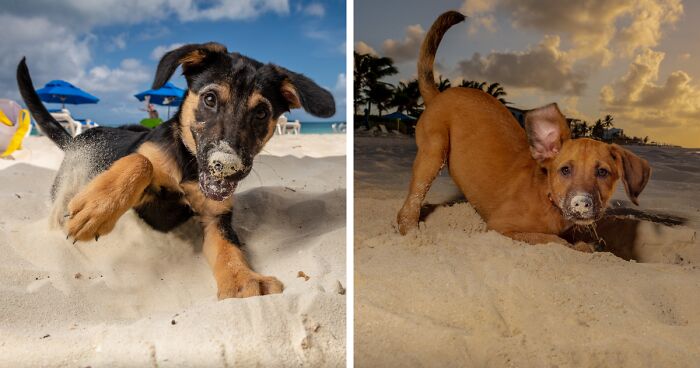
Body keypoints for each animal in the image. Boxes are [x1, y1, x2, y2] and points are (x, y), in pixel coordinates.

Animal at [15, 43, 334, 300]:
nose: (226, 165)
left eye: (261, 113)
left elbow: (229, 250)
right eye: (209, 99)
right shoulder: (143, 179)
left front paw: (243, 280)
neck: (189, 169)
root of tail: (75, 140)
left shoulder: (216, 218)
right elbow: (141, 161)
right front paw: (97, 209)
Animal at [396, 10, 652, 250]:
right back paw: (412, 232)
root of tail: (440, 94)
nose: (581, 203)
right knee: (409, 206)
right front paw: (580, 246)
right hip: (434, 152)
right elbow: (555, 241)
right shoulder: (501, 227)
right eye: (565, 170)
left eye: (602, 172)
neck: (547, 197)